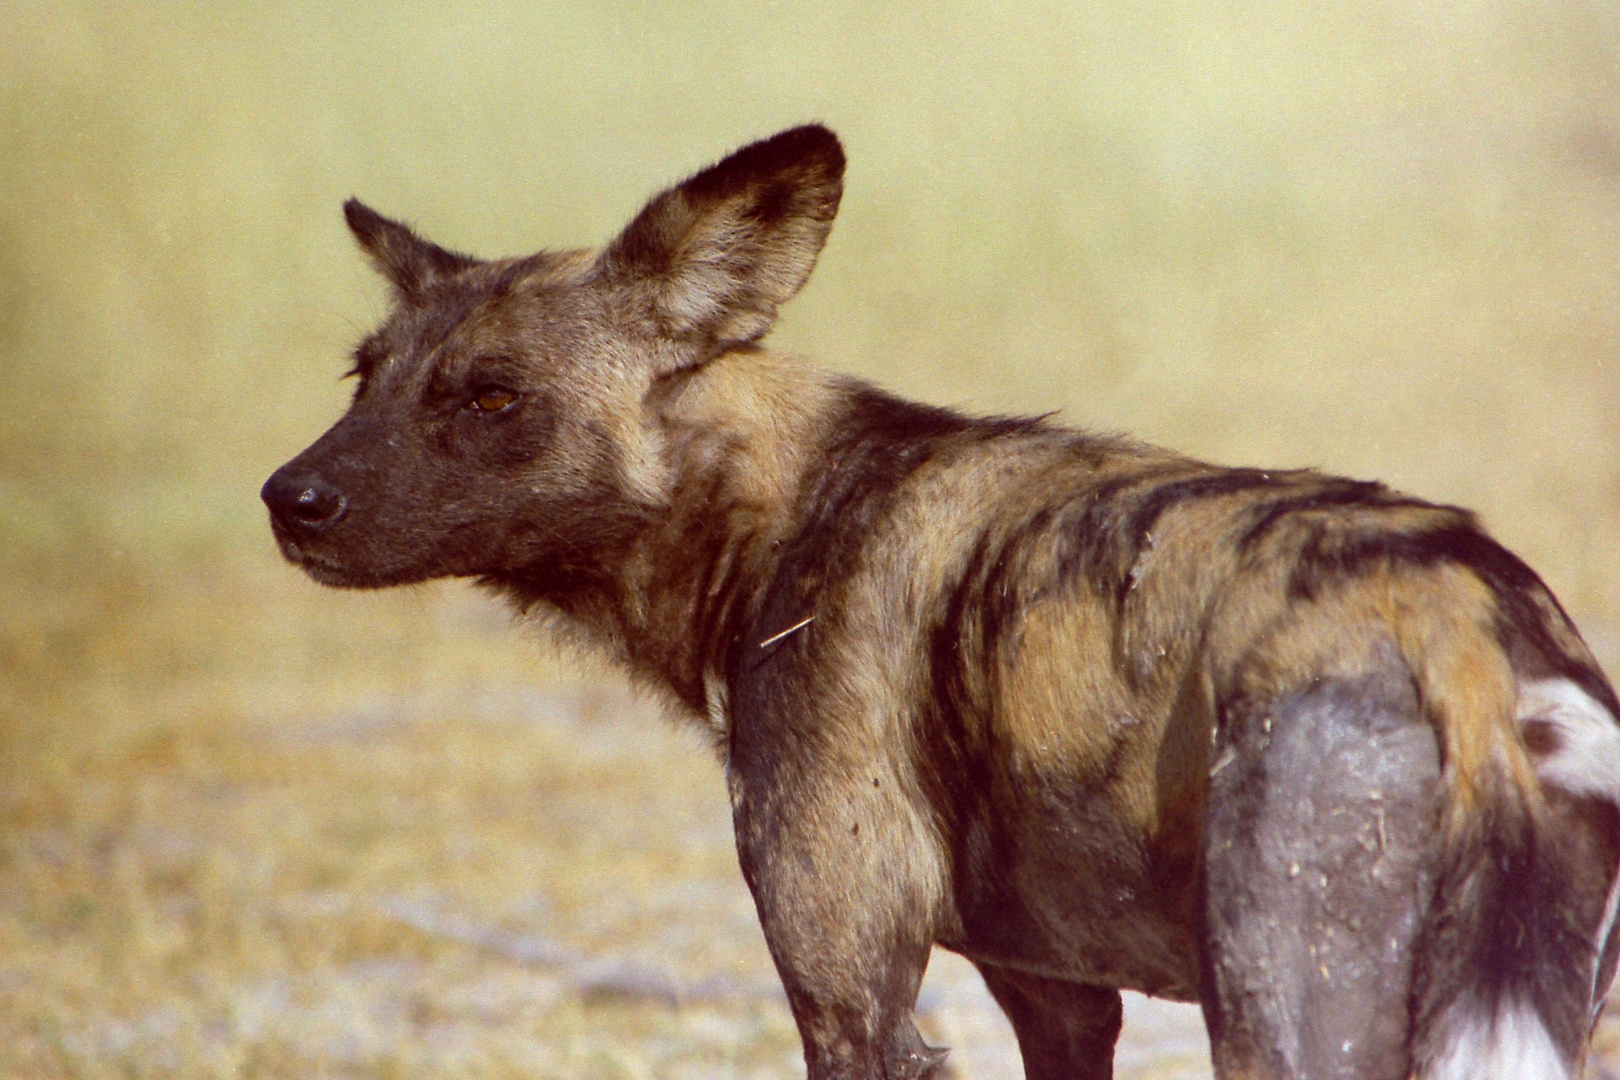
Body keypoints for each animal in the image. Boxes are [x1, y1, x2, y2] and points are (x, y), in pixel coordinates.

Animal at [265, 128, 1620, 1080]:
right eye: (362, 378)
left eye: (491, 397)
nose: (290, 499)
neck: (774, 513)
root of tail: (1453, 613)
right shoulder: (1060, 998)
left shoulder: (856, 1003)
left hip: (1282, 1020)